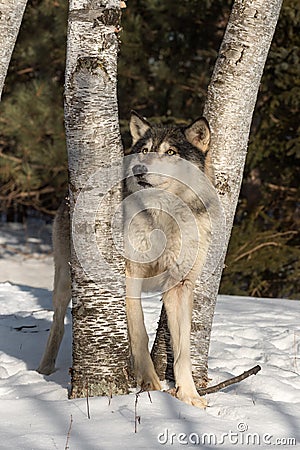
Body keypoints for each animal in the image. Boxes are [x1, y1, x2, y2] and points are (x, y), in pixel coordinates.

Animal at [38, 111, 216, 408]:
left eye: (170, 152)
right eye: (144, 151)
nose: (139, 170)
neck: (163, 218)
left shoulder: (179, 287)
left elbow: (183, 351)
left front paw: (189, 396)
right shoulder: (130, 277)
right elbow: (140, 333)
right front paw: (151, 383)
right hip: (64, 280)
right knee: (57, 323)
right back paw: (45, 368)